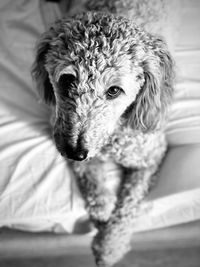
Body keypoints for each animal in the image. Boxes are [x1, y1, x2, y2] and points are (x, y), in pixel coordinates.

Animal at [31, 1, 173, 266]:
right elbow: (94, 185)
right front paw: (101, 213)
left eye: (114, 91)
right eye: (67, 79)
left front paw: (110, 246)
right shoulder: (68, 141)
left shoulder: (150, 159)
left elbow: (128, 207)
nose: (75, 152)